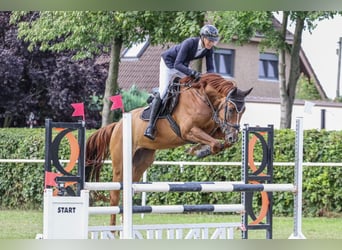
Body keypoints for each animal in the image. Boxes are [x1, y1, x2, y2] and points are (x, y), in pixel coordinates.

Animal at [85, 73, 251, 227]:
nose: (233, 137)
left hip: (141, 161)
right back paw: (113, 230)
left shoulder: (213, 129)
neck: (203, 98)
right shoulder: (189, 131)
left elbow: (219, 142)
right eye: (231, 109)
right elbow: (215, 144)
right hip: (120, 163)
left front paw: (200, 149)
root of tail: (117, 124)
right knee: (114, 194)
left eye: (243, 111)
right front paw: (199, 151)